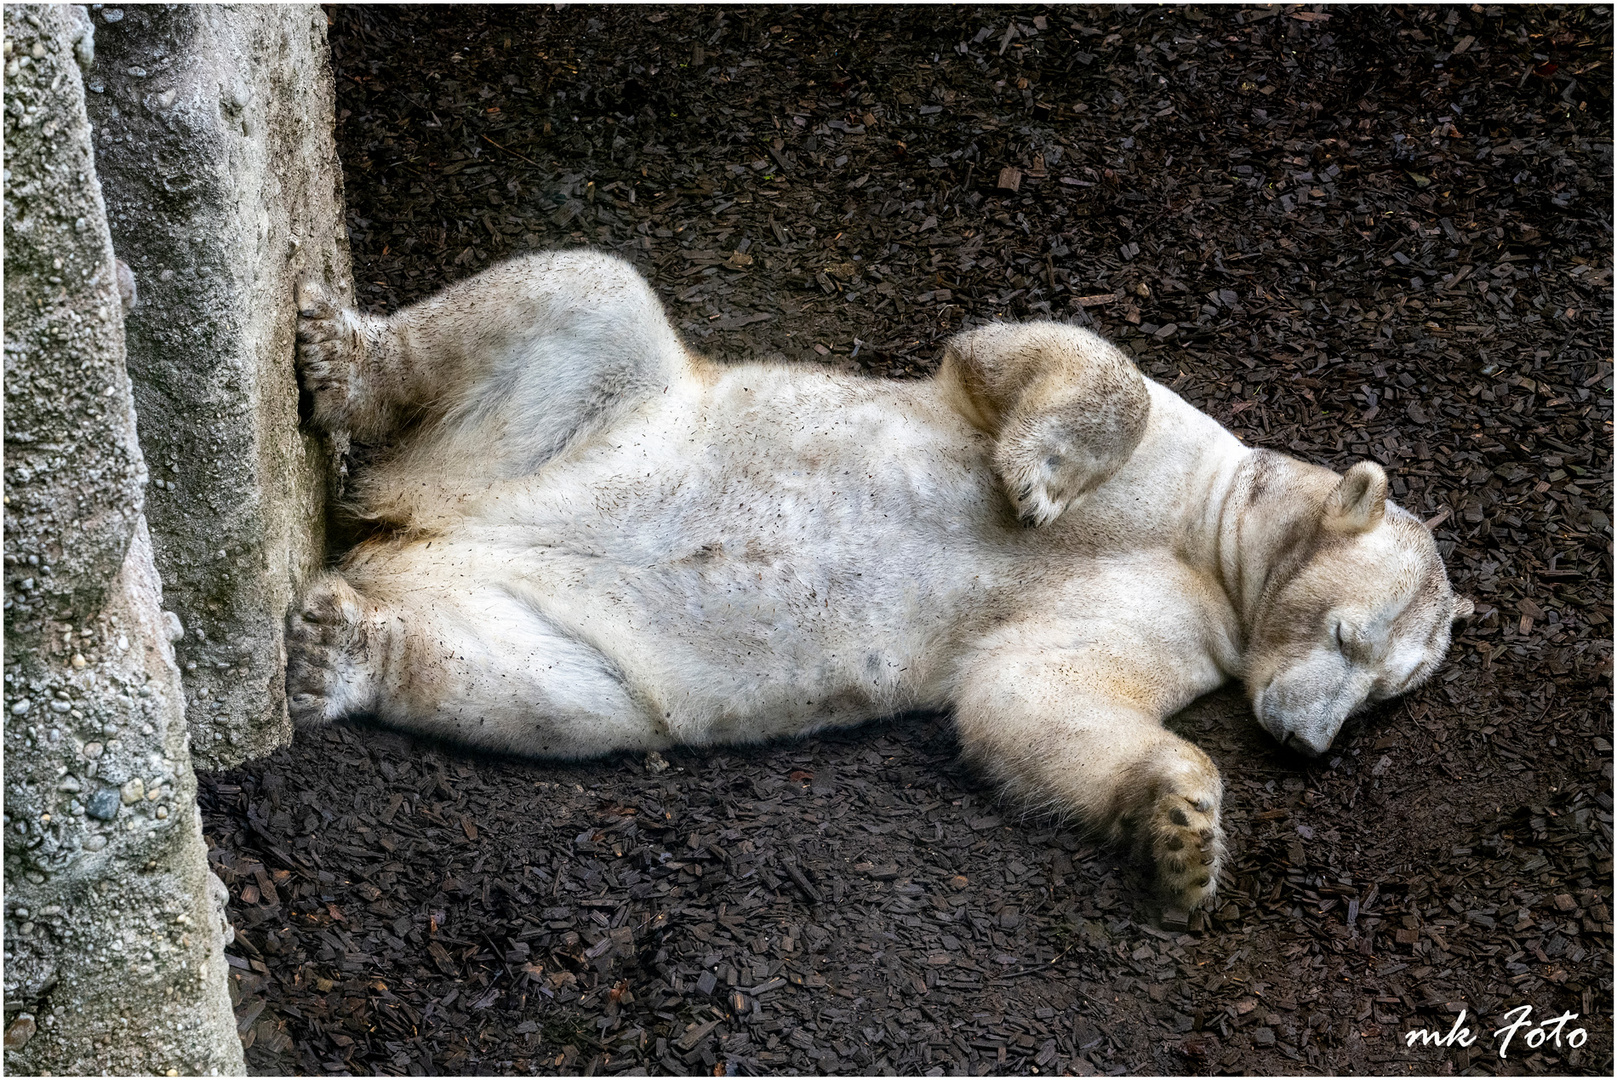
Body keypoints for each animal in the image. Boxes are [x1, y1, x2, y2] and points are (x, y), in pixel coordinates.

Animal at [284, 248, 1474, 905]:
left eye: (1385, 694)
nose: (1307, 741)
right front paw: (1036, 479)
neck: (1207, 539)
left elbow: (1028, 693)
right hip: (570, 426)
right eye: (1351, 638)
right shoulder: (1182, 453)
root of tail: (426, 525)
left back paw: (342, 649)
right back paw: (341, 356)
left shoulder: (1177, 622)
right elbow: (1054, 361)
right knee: (591, 295)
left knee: (561, 696)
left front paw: (1185, 837)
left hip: (565, 626)